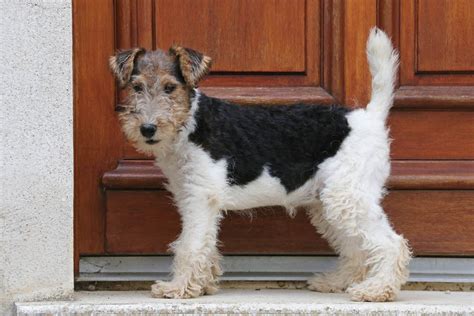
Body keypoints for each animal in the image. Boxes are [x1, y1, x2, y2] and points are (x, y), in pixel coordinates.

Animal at [110, 27, 412, 302]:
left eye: (170, 87)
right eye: (136, 87)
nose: (147, 129)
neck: (190, 123)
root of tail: (370, 116)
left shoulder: (201, 196)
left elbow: (190, 245)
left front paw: (179, 288)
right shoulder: (189, 196)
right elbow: (201, 242)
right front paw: (203, 284)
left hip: (346, 196)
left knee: (391, 243)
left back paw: (377, 290)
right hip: (330, 202)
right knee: (356, 248)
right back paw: (336, 282)